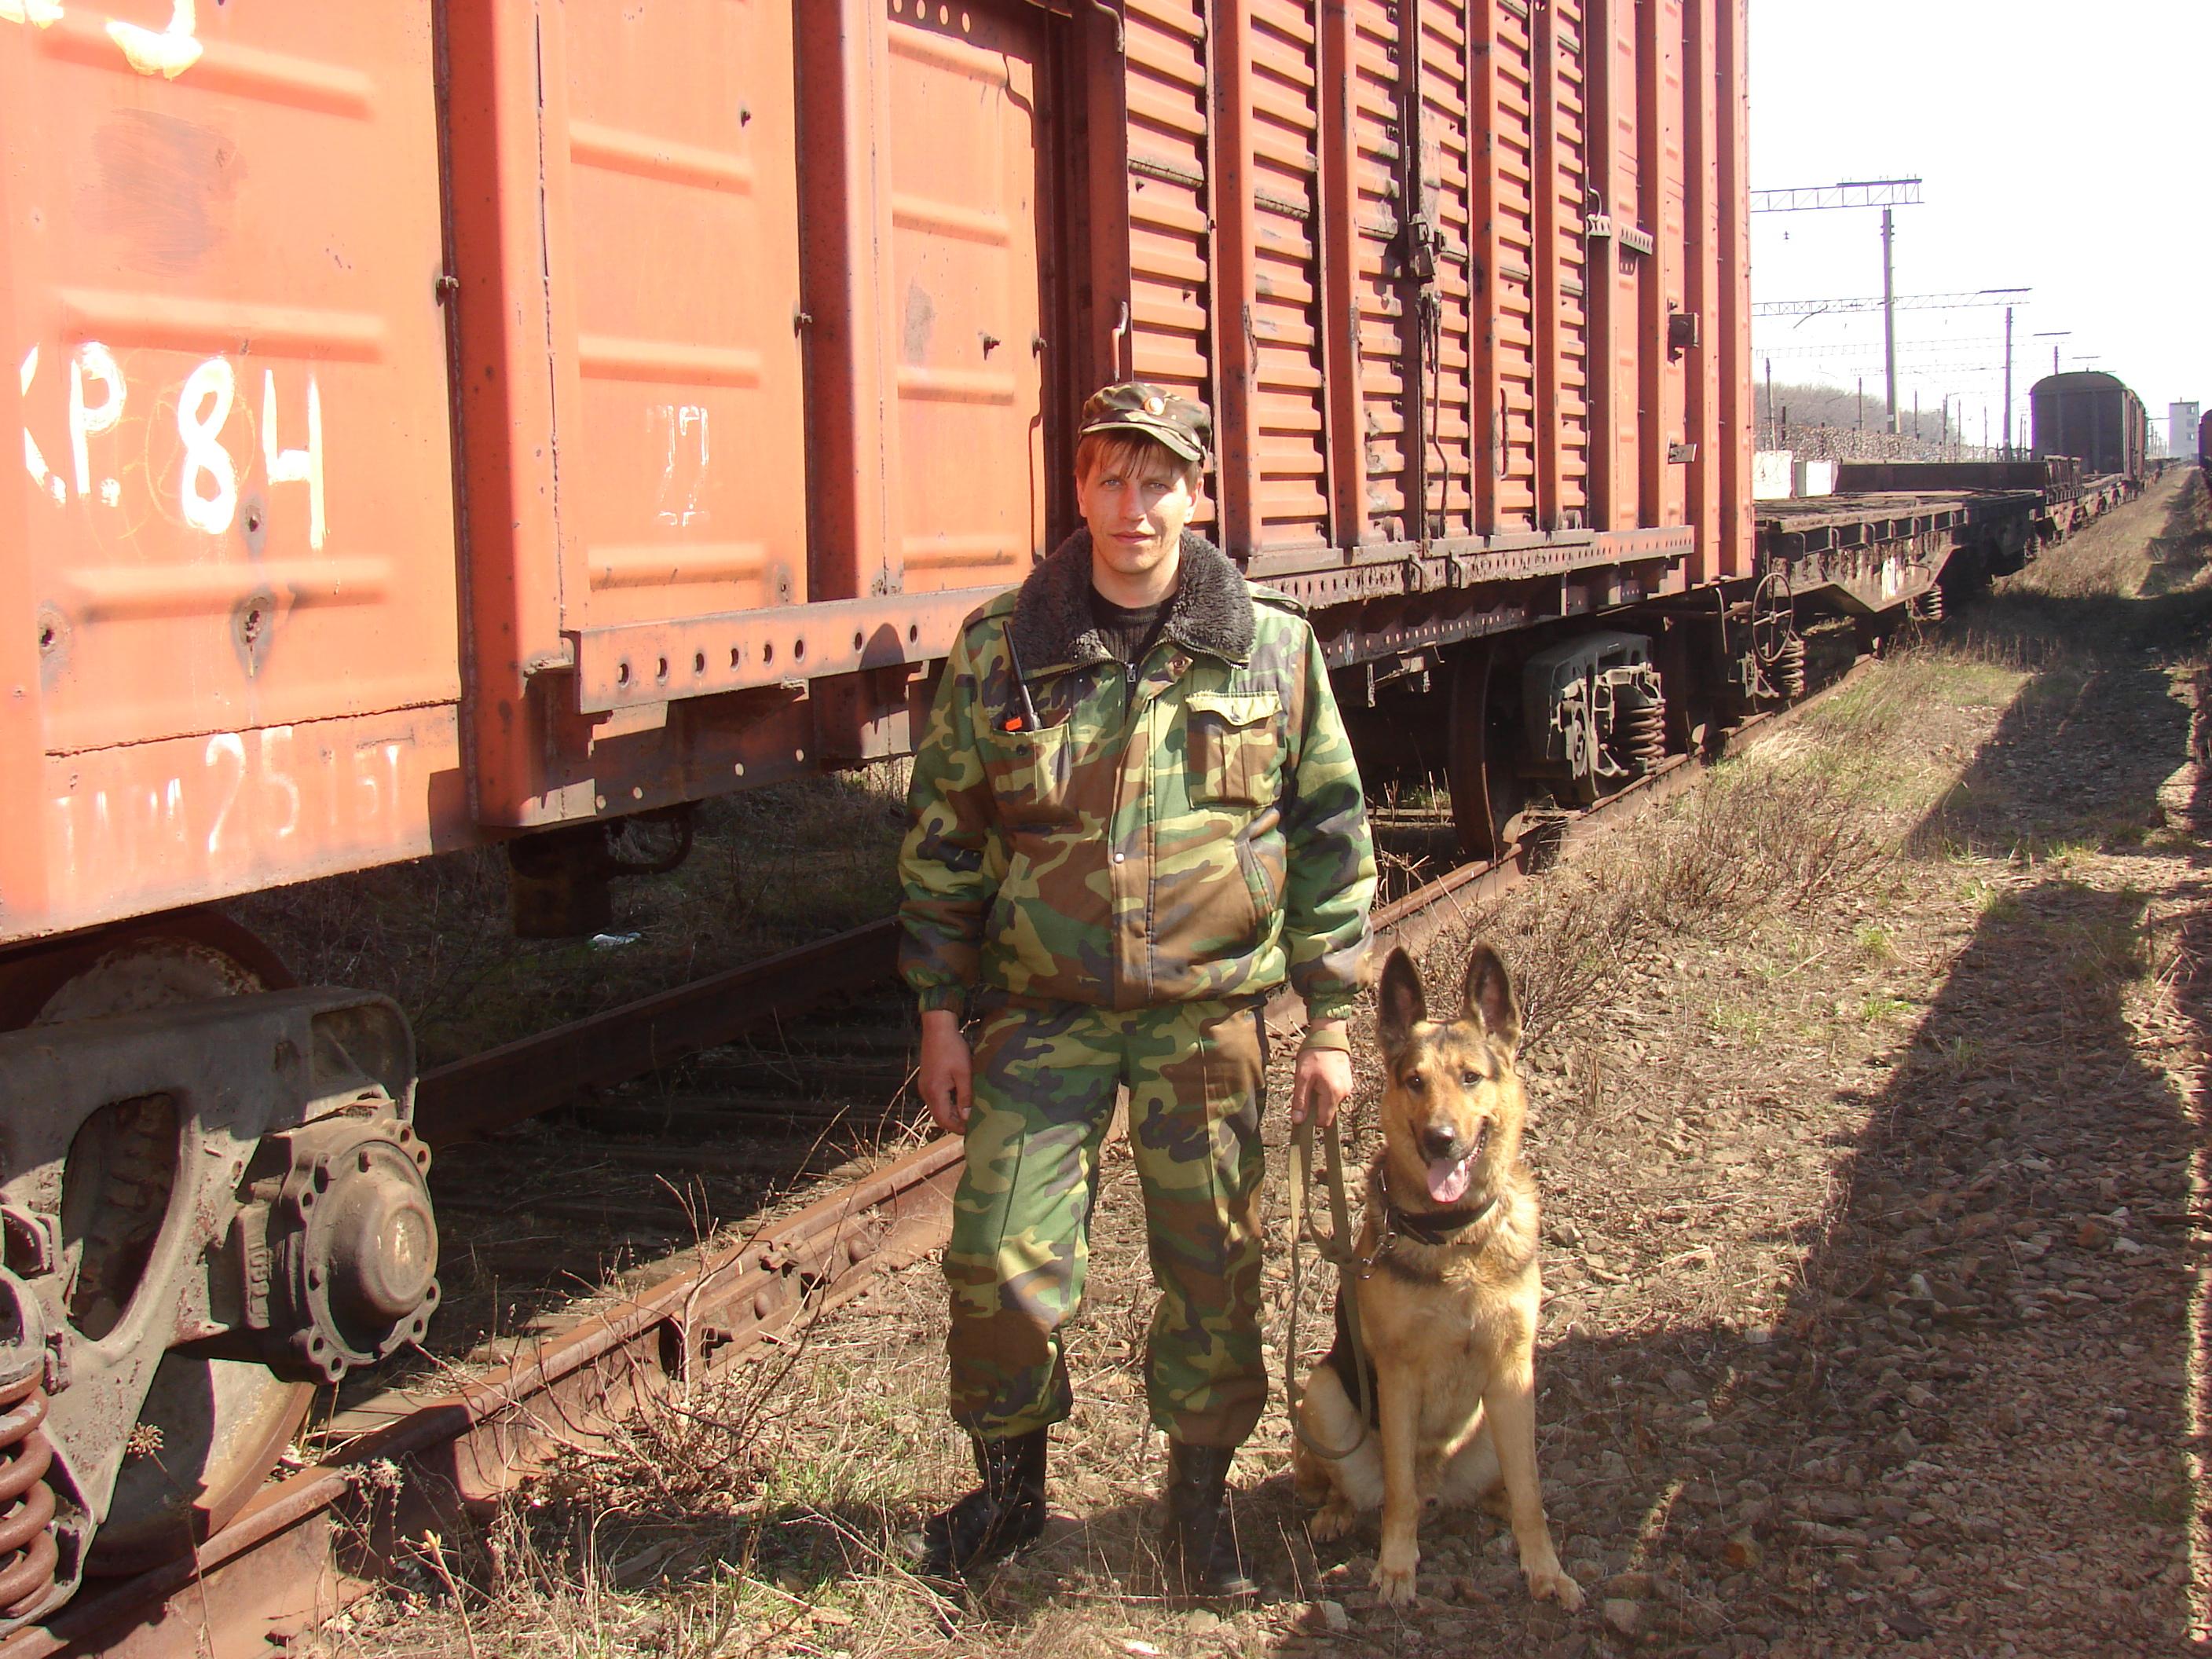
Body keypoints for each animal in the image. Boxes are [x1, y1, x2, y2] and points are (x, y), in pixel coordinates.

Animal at [1291, 947, 1584, 1610]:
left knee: (1504, 1482)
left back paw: (1493, 1504)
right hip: (1322, 1394)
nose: (1440, 1140)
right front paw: (1398, 1567)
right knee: (1360, 1486)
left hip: (1499, 1421)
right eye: (1415, 1082)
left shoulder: (1513, 1369)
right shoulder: (1398, 1377)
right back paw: (1338, 1512)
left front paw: (1545, 1568)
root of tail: (1438, 1486)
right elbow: (1397, 1495)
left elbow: (1532, 1491)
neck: (1457, 1242)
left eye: (1471, 1078)